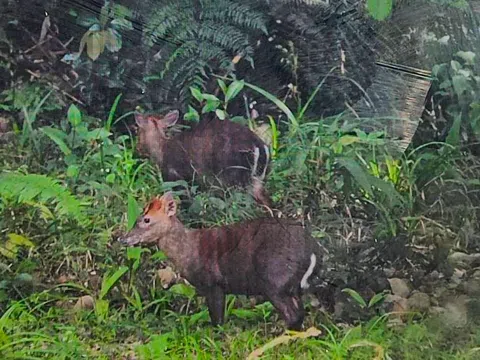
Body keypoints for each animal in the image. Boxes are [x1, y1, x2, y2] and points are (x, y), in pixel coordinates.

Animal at [118, 193, 324, 330]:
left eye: (146, 219)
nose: (123, 238)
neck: (188, 251)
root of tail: (312, 251)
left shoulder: (213, 283)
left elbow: (217, 320)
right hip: (291, 286)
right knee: (300, 313)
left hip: (274, 280)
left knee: (293, 315)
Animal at [135, 112, 272, 208]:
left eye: (138, 131)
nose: (138, 148)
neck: (161, 150)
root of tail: (259, 146)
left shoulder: (176, 176)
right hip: (257, 179)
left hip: (232, 177)